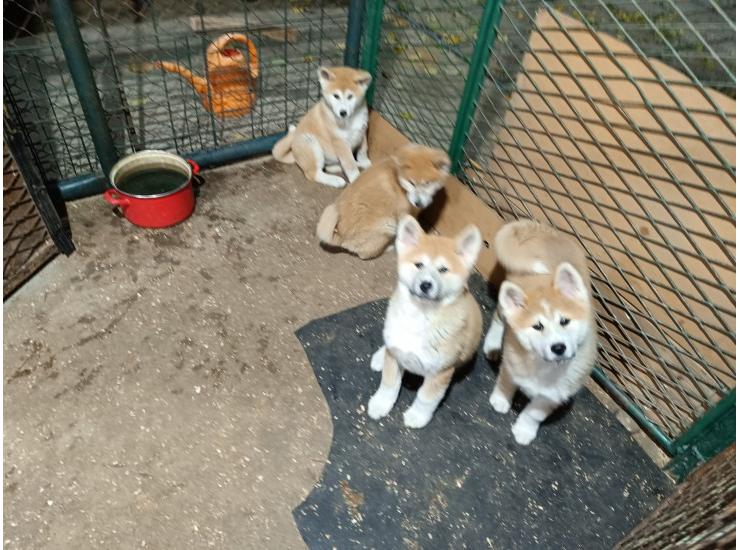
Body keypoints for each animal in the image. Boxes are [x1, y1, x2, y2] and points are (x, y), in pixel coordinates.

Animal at [316, 143, 449, 259]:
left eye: (427, 183)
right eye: (411, 183)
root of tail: (340, 236)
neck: (399, 180)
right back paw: (388, 248)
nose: (418, 203)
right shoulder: (405, 214)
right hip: (387, 227)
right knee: (364, 255)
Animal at [367, 215, 483, 428]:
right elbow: (389, 384)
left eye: (443, 269)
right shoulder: (395, 357)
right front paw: (381, 404)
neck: (420, 317)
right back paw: (380, 356)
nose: (425, 284)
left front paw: (417, 416)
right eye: (419, 265)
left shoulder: (440, 372)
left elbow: (426, 398)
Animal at [483, 219, 596, 445]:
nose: (558, 348)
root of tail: (545, 231)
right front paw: (500, 400)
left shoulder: (554, 395)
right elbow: (506, 383)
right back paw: (492, 345)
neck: (545, 367)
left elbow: (533, 413)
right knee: (498, 319)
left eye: (564, 321)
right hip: (505, 307)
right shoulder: (512, 363)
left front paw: (525, 430)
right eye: (538, 326)